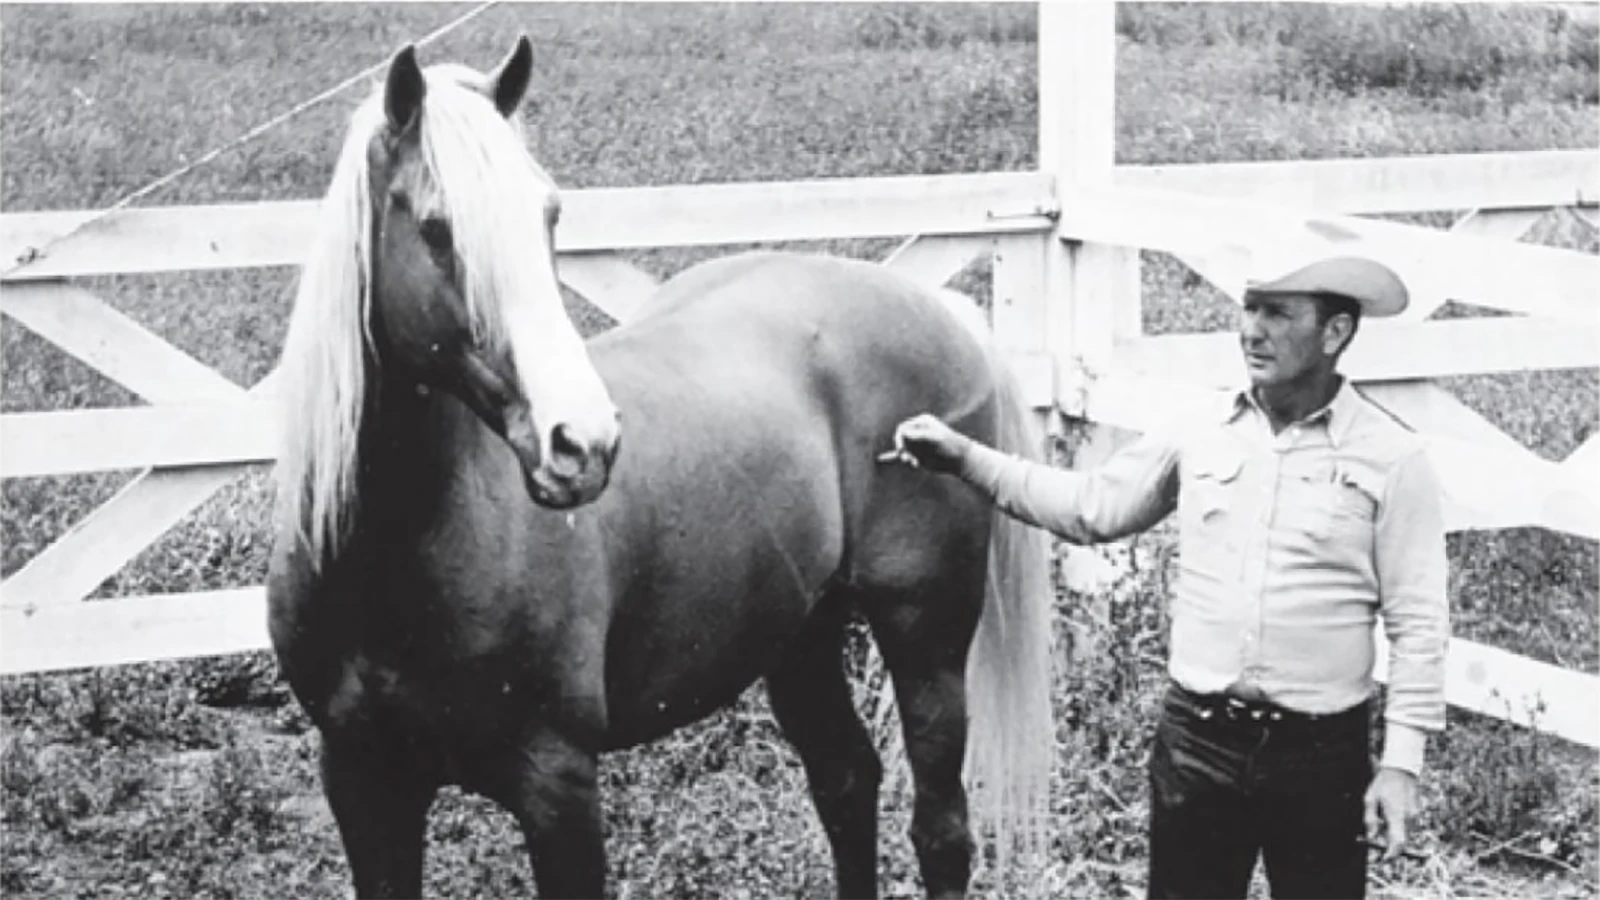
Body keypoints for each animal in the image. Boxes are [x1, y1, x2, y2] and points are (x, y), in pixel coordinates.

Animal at [267, 36, 1057, 900]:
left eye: (549, 214)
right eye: (437, 228)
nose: (582, 442)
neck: (401, 558)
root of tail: (939, 310)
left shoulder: (557, 785)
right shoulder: (363, 783)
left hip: (926, 644)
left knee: (940, 832)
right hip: (802, 636)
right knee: (847, 782)